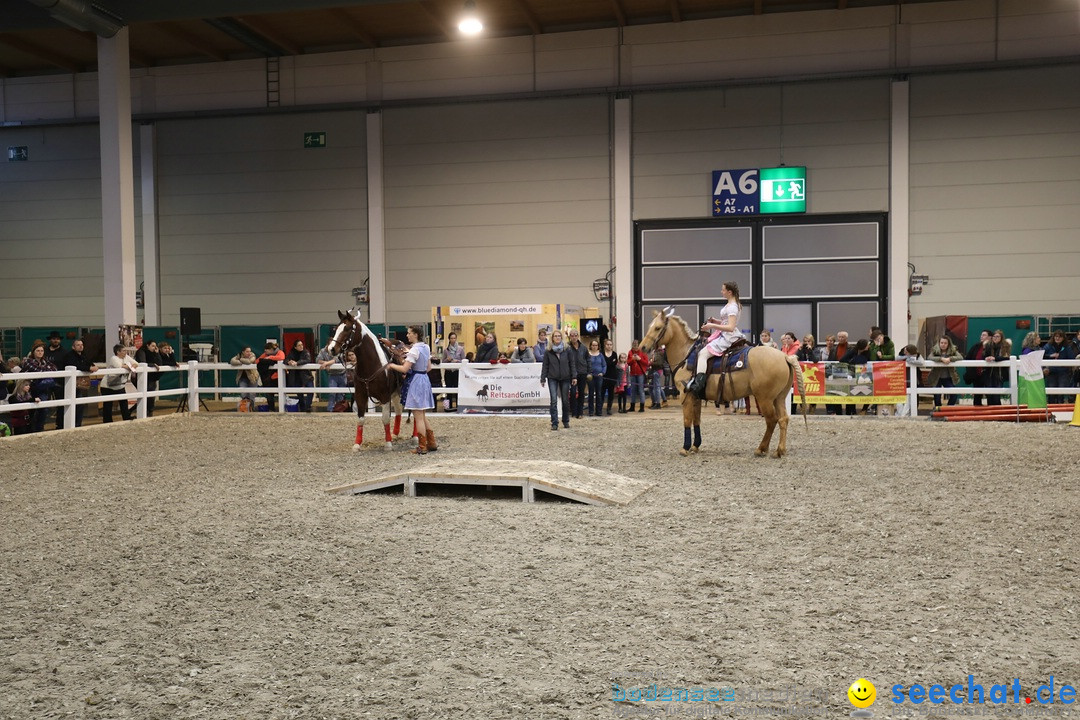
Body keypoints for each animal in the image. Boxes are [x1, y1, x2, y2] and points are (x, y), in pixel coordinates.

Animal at [324, 308, 406, 451]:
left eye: (347, 328)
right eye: (336, 328)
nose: (331, 349)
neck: (372, 363)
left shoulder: (385, 396)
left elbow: (385, 418)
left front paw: (388, 443)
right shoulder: (360, 395)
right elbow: (360, 418)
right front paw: (357, 444)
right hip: (396, 392)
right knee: (399, 410)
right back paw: (395, 434)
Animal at [635, 308, 807, 455]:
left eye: (657, 328)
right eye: (650, 326)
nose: (642, 347)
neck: (686, 355)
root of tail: (784, 356)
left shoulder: (686, 395)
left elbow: (687, 420)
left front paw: (685, 448)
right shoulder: (696, 396)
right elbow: (696, 420)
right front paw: (695, 445)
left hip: (764, 398)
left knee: (771, 421)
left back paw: (761, 449)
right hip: (779, 398)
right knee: (783, 419)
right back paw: (779, 450)